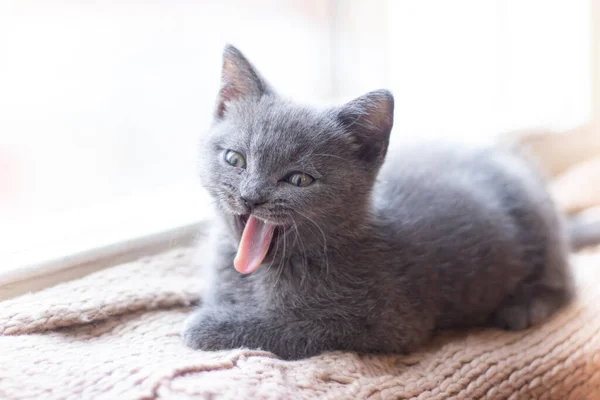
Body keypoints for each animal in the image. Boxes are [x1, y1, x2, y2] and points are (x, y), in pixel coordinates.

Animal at [183, 45, 596, 360]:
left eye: (299, 179)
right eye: (235, 159)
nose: (250, 196)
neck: (259, 275)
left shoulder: (387, 322)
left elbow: (296, 327)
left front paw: (207, 326)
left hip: (538, 227)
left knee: (565, 282)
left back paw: (524, 306)